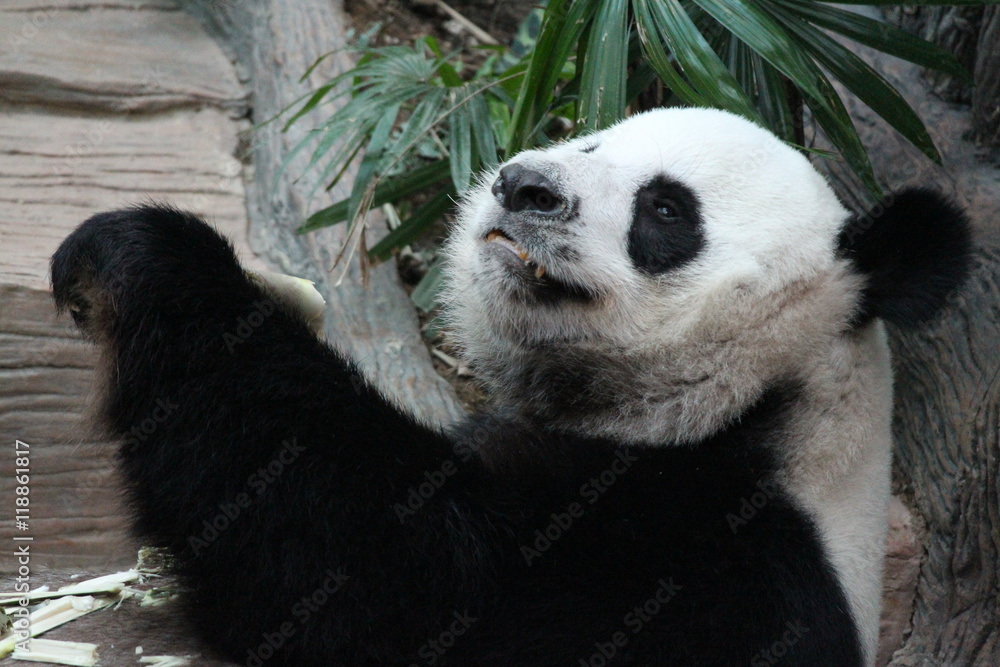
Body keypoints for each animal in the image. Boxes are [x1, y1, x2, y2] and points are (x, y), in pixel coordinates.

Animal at [51, 107, 970, 666]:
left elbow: (391, 578)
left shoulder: (703, 567)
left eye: (666, 210)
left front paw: (141, 256)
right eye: (592, 143)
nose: (525, 186)